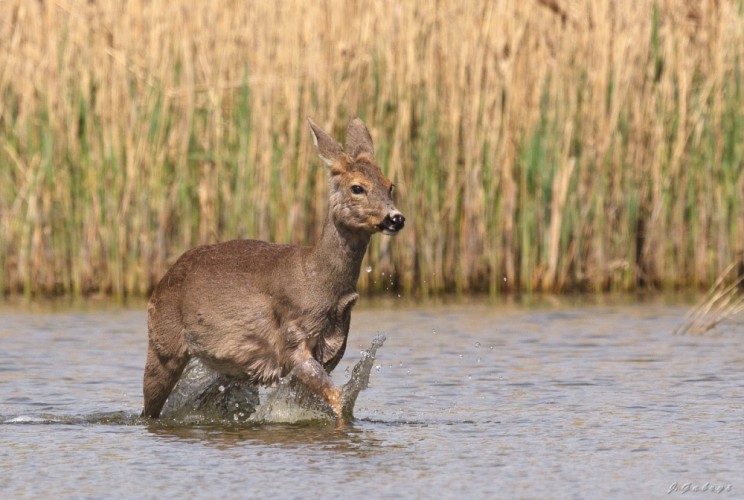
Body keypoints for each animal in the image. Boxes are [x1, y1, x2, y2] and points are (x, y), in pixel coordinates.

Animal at [142, 117, 404, 422]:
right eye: (357, 188)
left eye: (390, 185)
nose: (395, 218)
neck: (318, 283)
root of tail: (162, 281)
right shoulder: (292, 338)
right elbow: (336, 399)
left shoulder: (331, 349)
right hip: (164, 344)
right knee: (149, 407)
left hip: (230, 365)